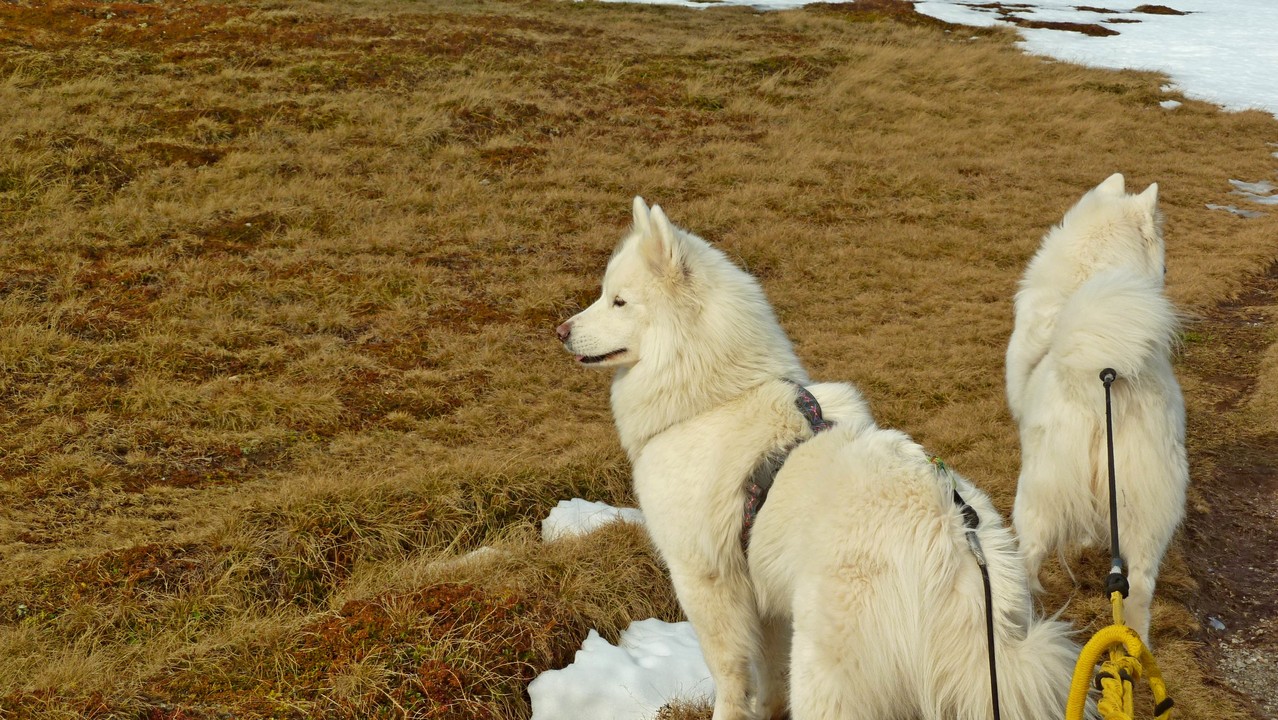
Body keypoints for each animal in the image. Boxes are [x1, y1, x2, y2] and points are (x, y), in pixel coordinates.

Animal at [557, 196, 1078, 720]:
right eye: (605, 294)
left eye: (618, 301)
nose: (559, 331)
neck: (713, 399)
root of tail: (958, 553)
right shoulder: (762, 595)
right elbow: (768, 674)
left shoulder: (705, 582)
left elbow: (729, 675)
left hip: (824, 669)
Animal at [1007, 172, 1185, 641]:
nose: (1166, 272)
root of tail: (1103, 377)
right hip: (1146, 509)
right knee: (1138, 588)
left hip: (1034, 495)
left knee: (1027, 561)